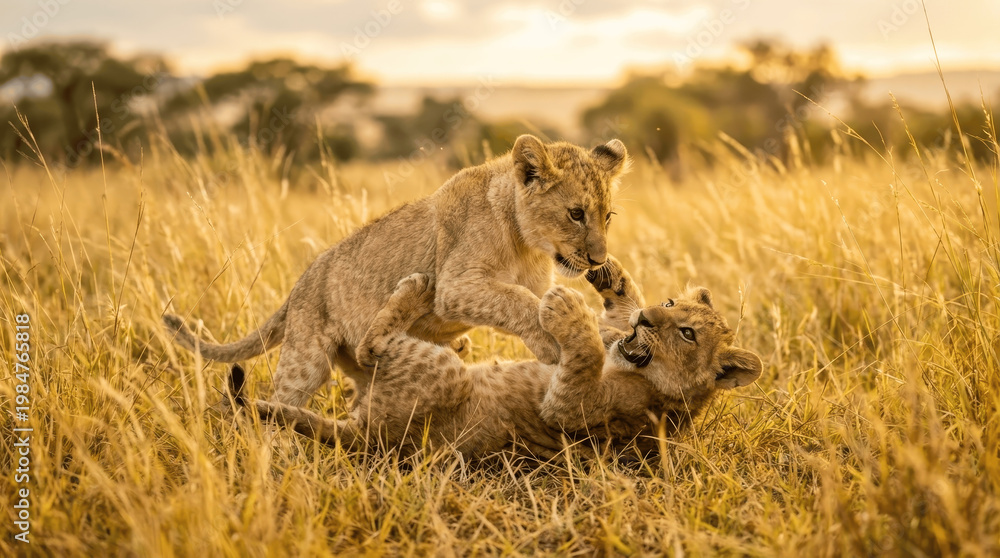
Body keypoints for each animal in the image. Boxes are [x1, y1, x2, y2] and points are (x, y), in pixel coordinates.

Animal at [164, 135, 630, 407]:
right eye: (575, 214)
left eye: (608, 216)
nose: (598, 260)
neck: (526, 245)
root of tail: (299, 285)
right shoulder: (454, 286)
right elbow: (519, 301)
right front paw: (556, 344)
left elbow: (525, 300)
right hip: (305, 359)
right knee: (284, 400)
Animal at [227, 257, 763, 459]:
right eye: (670, 305)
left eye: (688, 335)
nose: (648, 321)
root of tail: (367, 437)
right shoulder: (617, 335)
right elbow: (611, 321)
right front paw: (609, 276)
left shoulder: (574, 415)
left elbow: (583, 358)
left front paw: (565, 306)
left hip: (444, 377)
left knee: (370, 347)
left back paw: (416, 290)